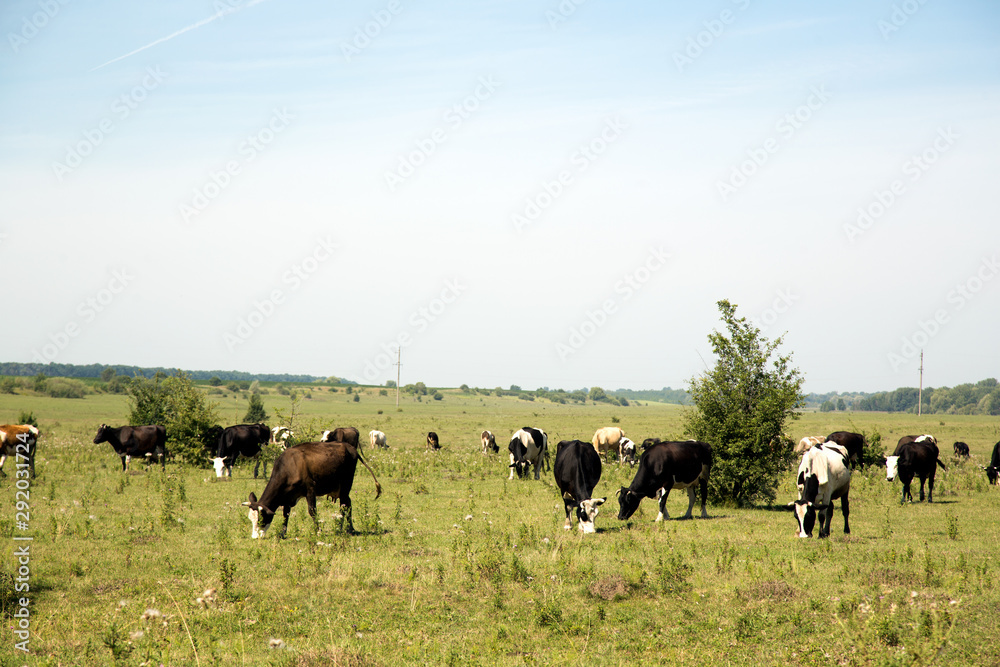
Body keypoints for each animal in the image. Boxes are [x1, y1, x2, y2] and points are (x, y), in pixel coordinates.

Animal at [242, 440, 382, 540]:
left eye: (260, 519)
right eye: (250, 519)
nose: (254, 537)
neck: (289, 466)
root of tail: (351, 448)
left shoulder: (310, 490)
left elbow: (312, 511)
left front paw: (318, 531)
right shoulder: (288, 495)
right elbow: (285, 514)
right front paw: (282, 533)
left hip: (345, 486)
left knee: (345, 506)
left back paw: (345, 529)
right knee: (347, 504)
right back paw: (345, 528)